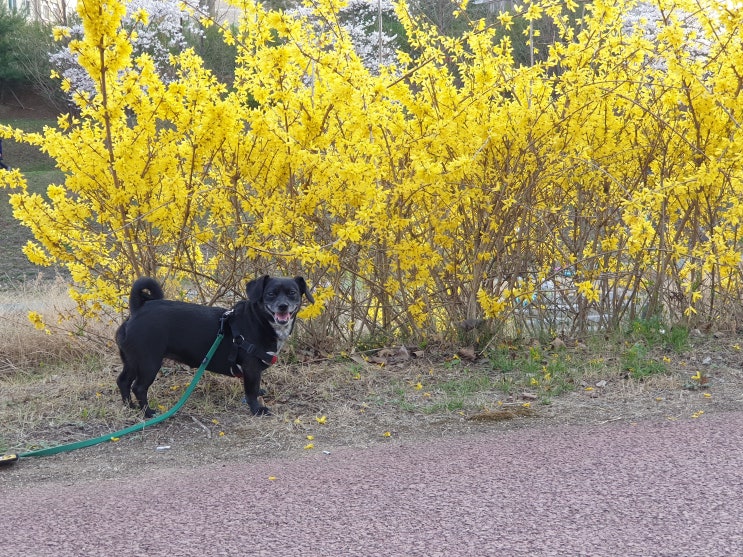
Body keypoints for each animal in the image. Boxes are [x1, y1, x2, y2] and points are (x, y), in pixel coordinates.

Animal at [117, 276, 314, 414]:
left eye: (292, 293)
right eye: (271, 294)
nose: (283, 306)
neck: (260, 320)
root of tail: (138, 310)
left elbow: (255, 387)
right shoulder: (251, 367)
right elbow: (251, 391)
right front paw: (257, 410)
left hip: (132, 361)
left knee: (123, 382)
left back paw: (130, 407)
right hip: (149, 363)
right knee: (138, 388)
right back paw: (148, 413)